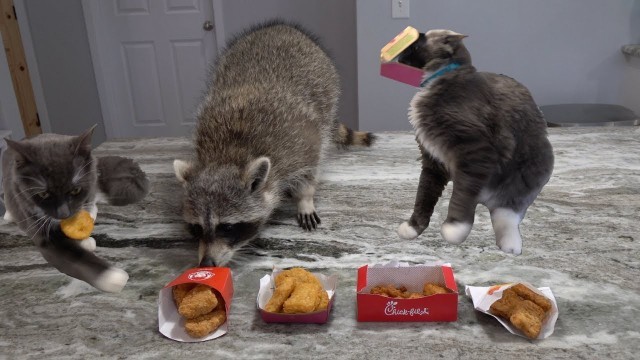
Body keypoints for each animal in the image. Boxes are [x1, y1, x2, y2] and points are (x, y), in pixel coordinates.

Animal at [1, 126, 149, 292]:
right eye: (43, 194)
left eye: (76, 190)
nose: (64, 213)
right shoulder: (42, 232)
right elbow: (77, 257)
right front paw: (114, 277)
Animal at [175, 21, 376, 266]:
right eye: (196, 228)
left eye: (228, 227)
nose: (206, 264)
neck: (230, 154)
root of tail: (280, 26)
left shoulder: (300, 144)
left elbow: (310, 168)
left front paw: (305, 197)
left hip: (328, 86)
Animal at [392, 31, 552, 255]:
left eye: (416, 45)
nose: (400, 55)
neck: (441, 78)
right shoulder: (433, 160)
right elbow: (423, 195)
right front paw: (414, 227)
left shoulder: (475, 151)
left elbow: (460, 195)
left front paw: (454, 228)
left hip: (526, 174)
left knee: (505, 213)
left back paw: (511, 246)